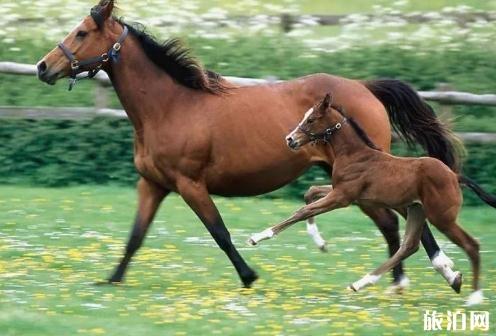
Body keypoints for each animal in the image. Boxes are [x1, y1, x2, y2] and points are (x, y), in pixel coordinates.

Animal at [37, 0, 462, 288]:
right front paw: (111, 280)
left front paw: (249, 275)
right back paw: (398, 282)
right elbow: (135, 236)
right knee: (392, 222)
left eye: (82, 32)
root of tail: (365, 87)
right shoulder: (153, 184)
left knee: (403, 219)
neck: (170, 106)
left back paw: (438, 273)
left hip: (368, 174)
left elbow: (220, 233)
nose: (43, 67)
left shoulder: (191, 184)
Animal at [252, 94, 496, 304]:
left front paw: (258, 236)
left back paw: (474, 297)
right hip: (416, 210)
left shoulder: (342, 197)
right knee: (409, 246)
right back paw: (363, 283)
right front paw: (319, 241)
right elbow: (310, 193)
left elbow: (303, 210)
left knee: (471, 244)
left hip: (442, 218)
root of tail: (454, 175)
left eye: (311, 119)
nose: (290, 139)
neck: (355, 154)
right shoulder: (344, 193)